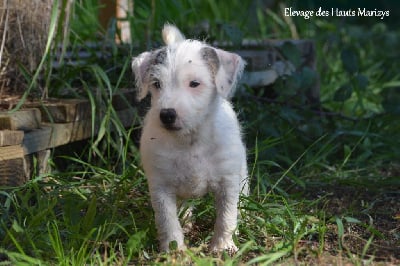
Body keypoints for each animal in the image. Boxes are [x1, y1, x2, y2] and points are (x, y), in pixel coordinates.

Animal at [133, 23, 248, 252]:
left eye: (194, 83)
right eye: (156, 84)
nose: (167, 115)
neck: (189, 141)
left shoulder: (228, 182)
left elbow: (227, 215)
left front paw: (222, 247)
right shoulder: (161, 186)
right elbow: (167, 220)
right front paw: (174, 250)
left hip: (242, 172)